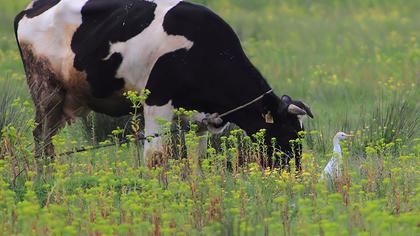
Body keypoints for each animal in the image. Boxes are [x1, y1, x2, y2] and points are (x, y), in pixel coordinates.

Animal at [14, 0, 314, 170]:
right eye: (288, 132)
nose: (294, 171)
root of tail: (31, 8)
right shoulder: (156, 102)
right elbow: (156, 158)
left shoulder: (201, 120)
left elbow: (196, 159)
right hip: (46, 90)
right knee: (41, 137)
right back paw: (44, 176)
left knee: (49, 141)